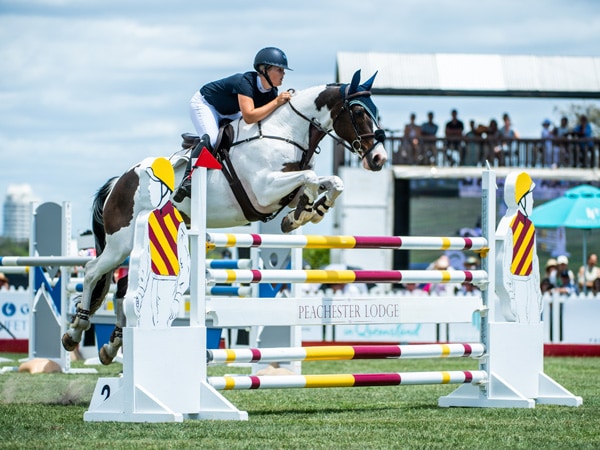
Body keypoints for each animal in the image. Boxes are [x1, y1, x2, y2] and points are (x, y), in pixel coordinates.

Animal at [62, 71, 390, 366]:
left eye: (376, 111)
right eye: (358, 111)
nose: (379, 159)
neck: (285, 132)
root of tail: (119, 181)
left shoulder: (281, 190)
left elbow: (331, 182)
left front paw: (303, 214)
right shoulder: (264, 190)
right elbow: (309, 177)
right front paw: (303, 212)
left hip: (139, 244)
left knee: (122, 288)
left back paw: (112, 345)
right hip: (120, 243)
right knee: (92, 272)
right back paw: (75, 331)